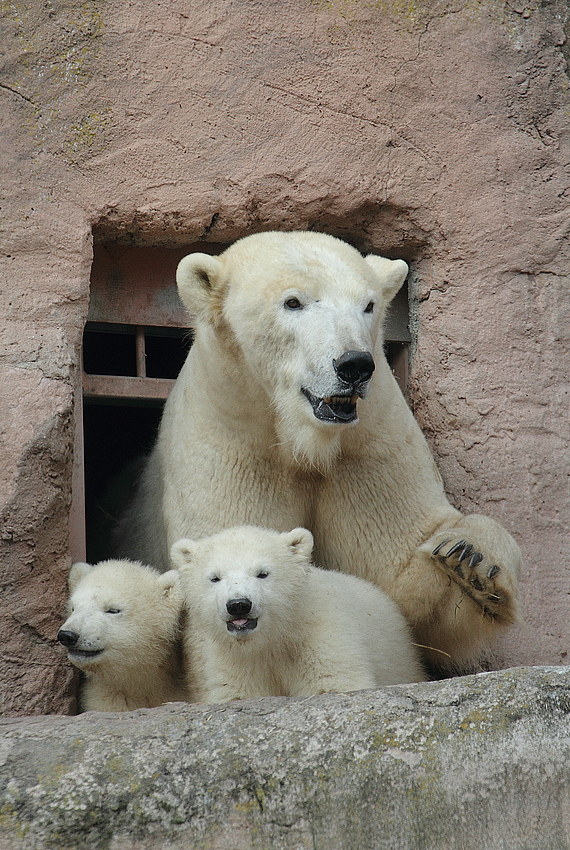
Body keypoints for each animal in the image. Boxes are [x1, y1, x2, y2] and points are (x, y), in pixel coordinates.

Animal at [118, 230, 520, 668]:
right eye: (293, 302)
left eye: (368, 305)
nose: (354, 365)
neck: (305, 441)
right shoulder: (233, 441)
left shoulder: (368, 446)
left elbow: (401, 579)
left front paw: (468, 556)